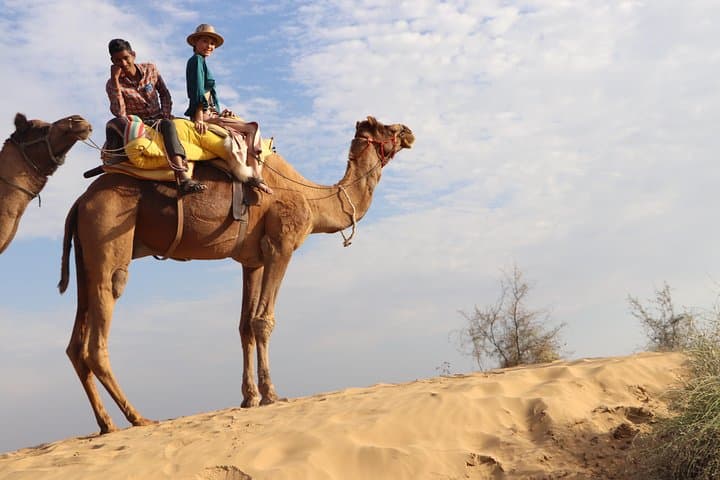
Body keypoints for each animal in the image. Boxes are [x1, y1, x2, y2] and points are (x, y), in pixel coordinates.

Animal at [59, 116, 414, 433]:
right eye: (386, 128)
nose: (408, 132)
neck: (313, 202)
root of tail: (79, 202)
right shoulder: (281, 245)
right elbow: (263, 321)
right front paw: (271, 394)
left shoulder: (252, 260)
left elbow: (245, 326)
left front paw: (249, 398)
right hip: (109, 232)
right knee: (100, 329)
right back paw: (137, 418)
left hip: (86, 254)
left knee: (76, 344)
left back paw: (107, 425)